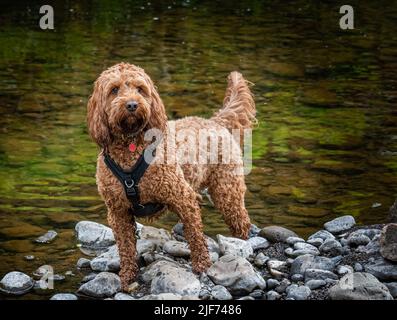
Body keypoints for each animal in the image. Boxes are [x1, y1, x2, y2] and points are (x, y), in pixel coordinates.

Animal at [86, 62, 256, 290]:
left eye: (140, 89)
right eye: (114, 90)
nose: (132, 105)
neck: (131, 148)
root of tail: (215, 121)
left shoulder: (183, 197)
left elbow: (195, 235)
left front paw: (202, 265)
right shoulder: (118, 212)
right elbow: (126, 247)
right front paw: (128, 277)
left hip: (227, 190)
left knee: (241, 221)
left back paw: (241, 244)